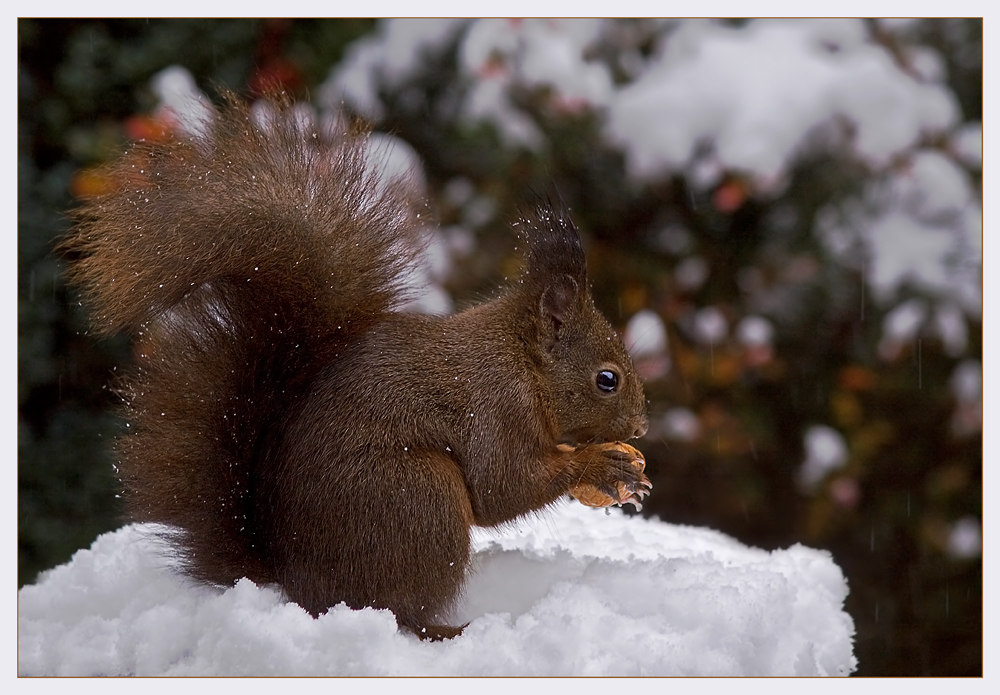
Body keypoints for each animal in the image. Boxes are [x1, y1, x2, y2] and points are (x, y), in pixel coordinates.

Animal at [64, 95, 656, 640]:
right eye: (607, 379)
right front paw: (601, 465)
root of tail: (294, 579)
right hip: (419, 496)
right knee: (399, 612)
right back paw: (445, 629)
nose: (640, 426)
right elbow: (502, 486)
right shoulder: (495, 407)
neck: (522, 362)